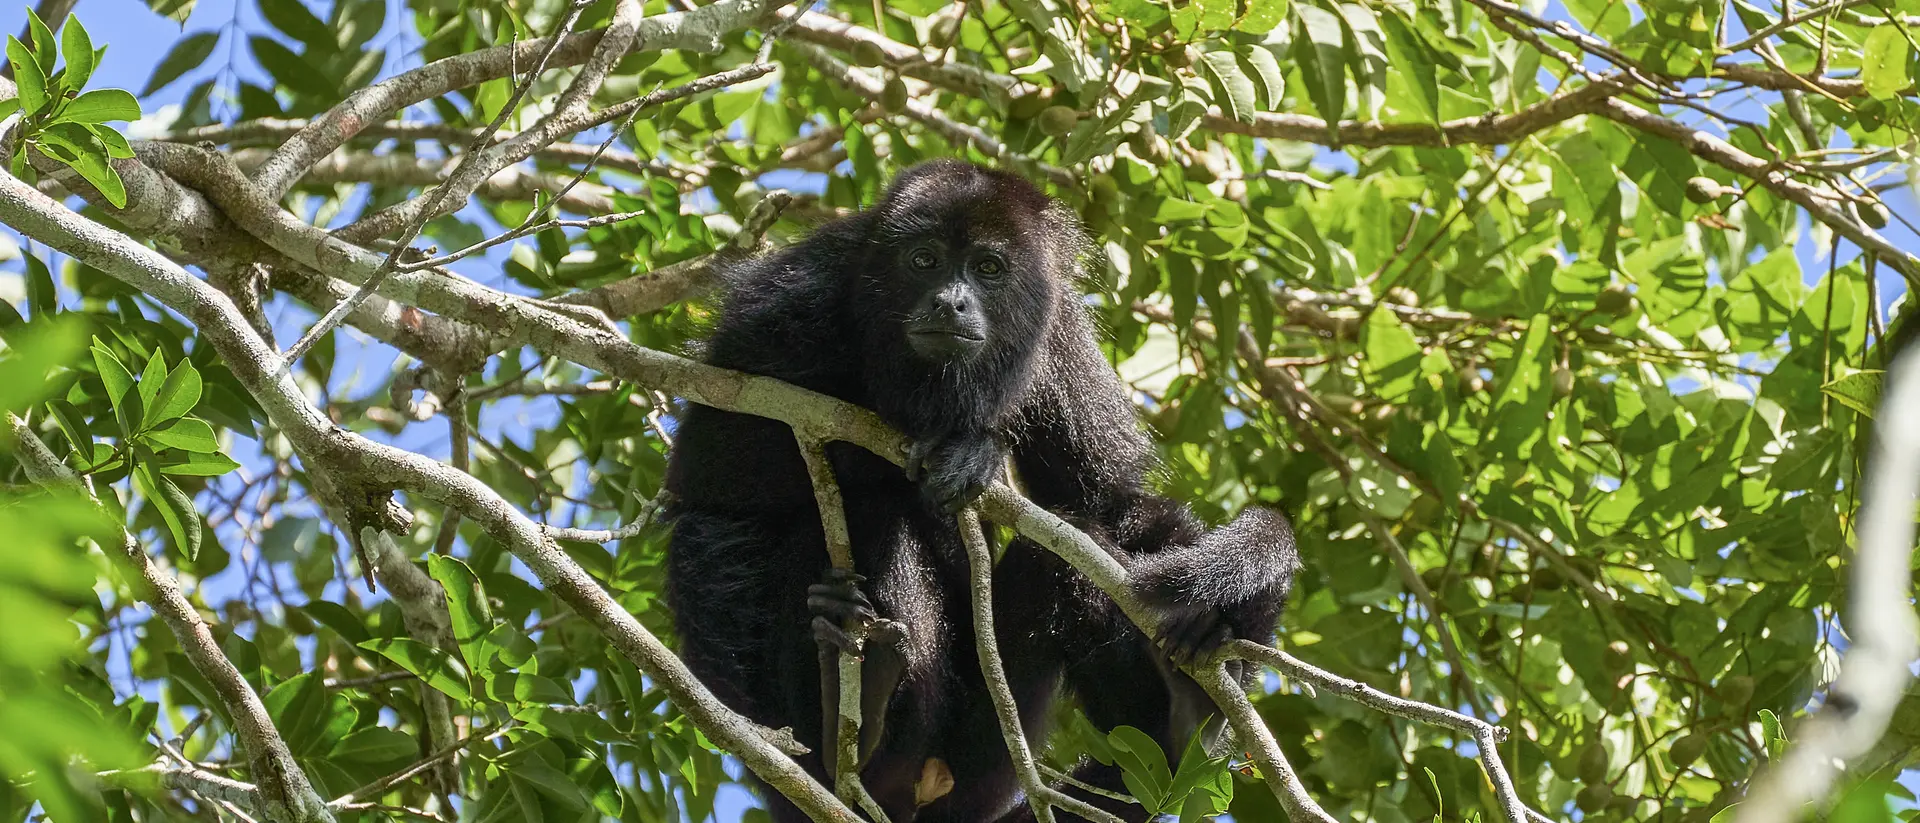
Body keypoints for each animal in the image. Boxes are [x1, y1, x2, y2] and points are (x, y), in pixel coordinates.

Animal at [662, 159, 1299, 822]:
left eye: (989, 268)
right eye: (924, 260)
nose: (951, 300)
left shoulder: (1059, 332)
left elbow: (1111, 503)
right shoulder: (789, 302)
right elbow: (711, 463)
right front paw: (968, 448)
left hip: (986, 758)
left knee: (1068, 555)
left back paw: (1187, 712)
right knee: (772, 525)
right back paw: (850, 719)